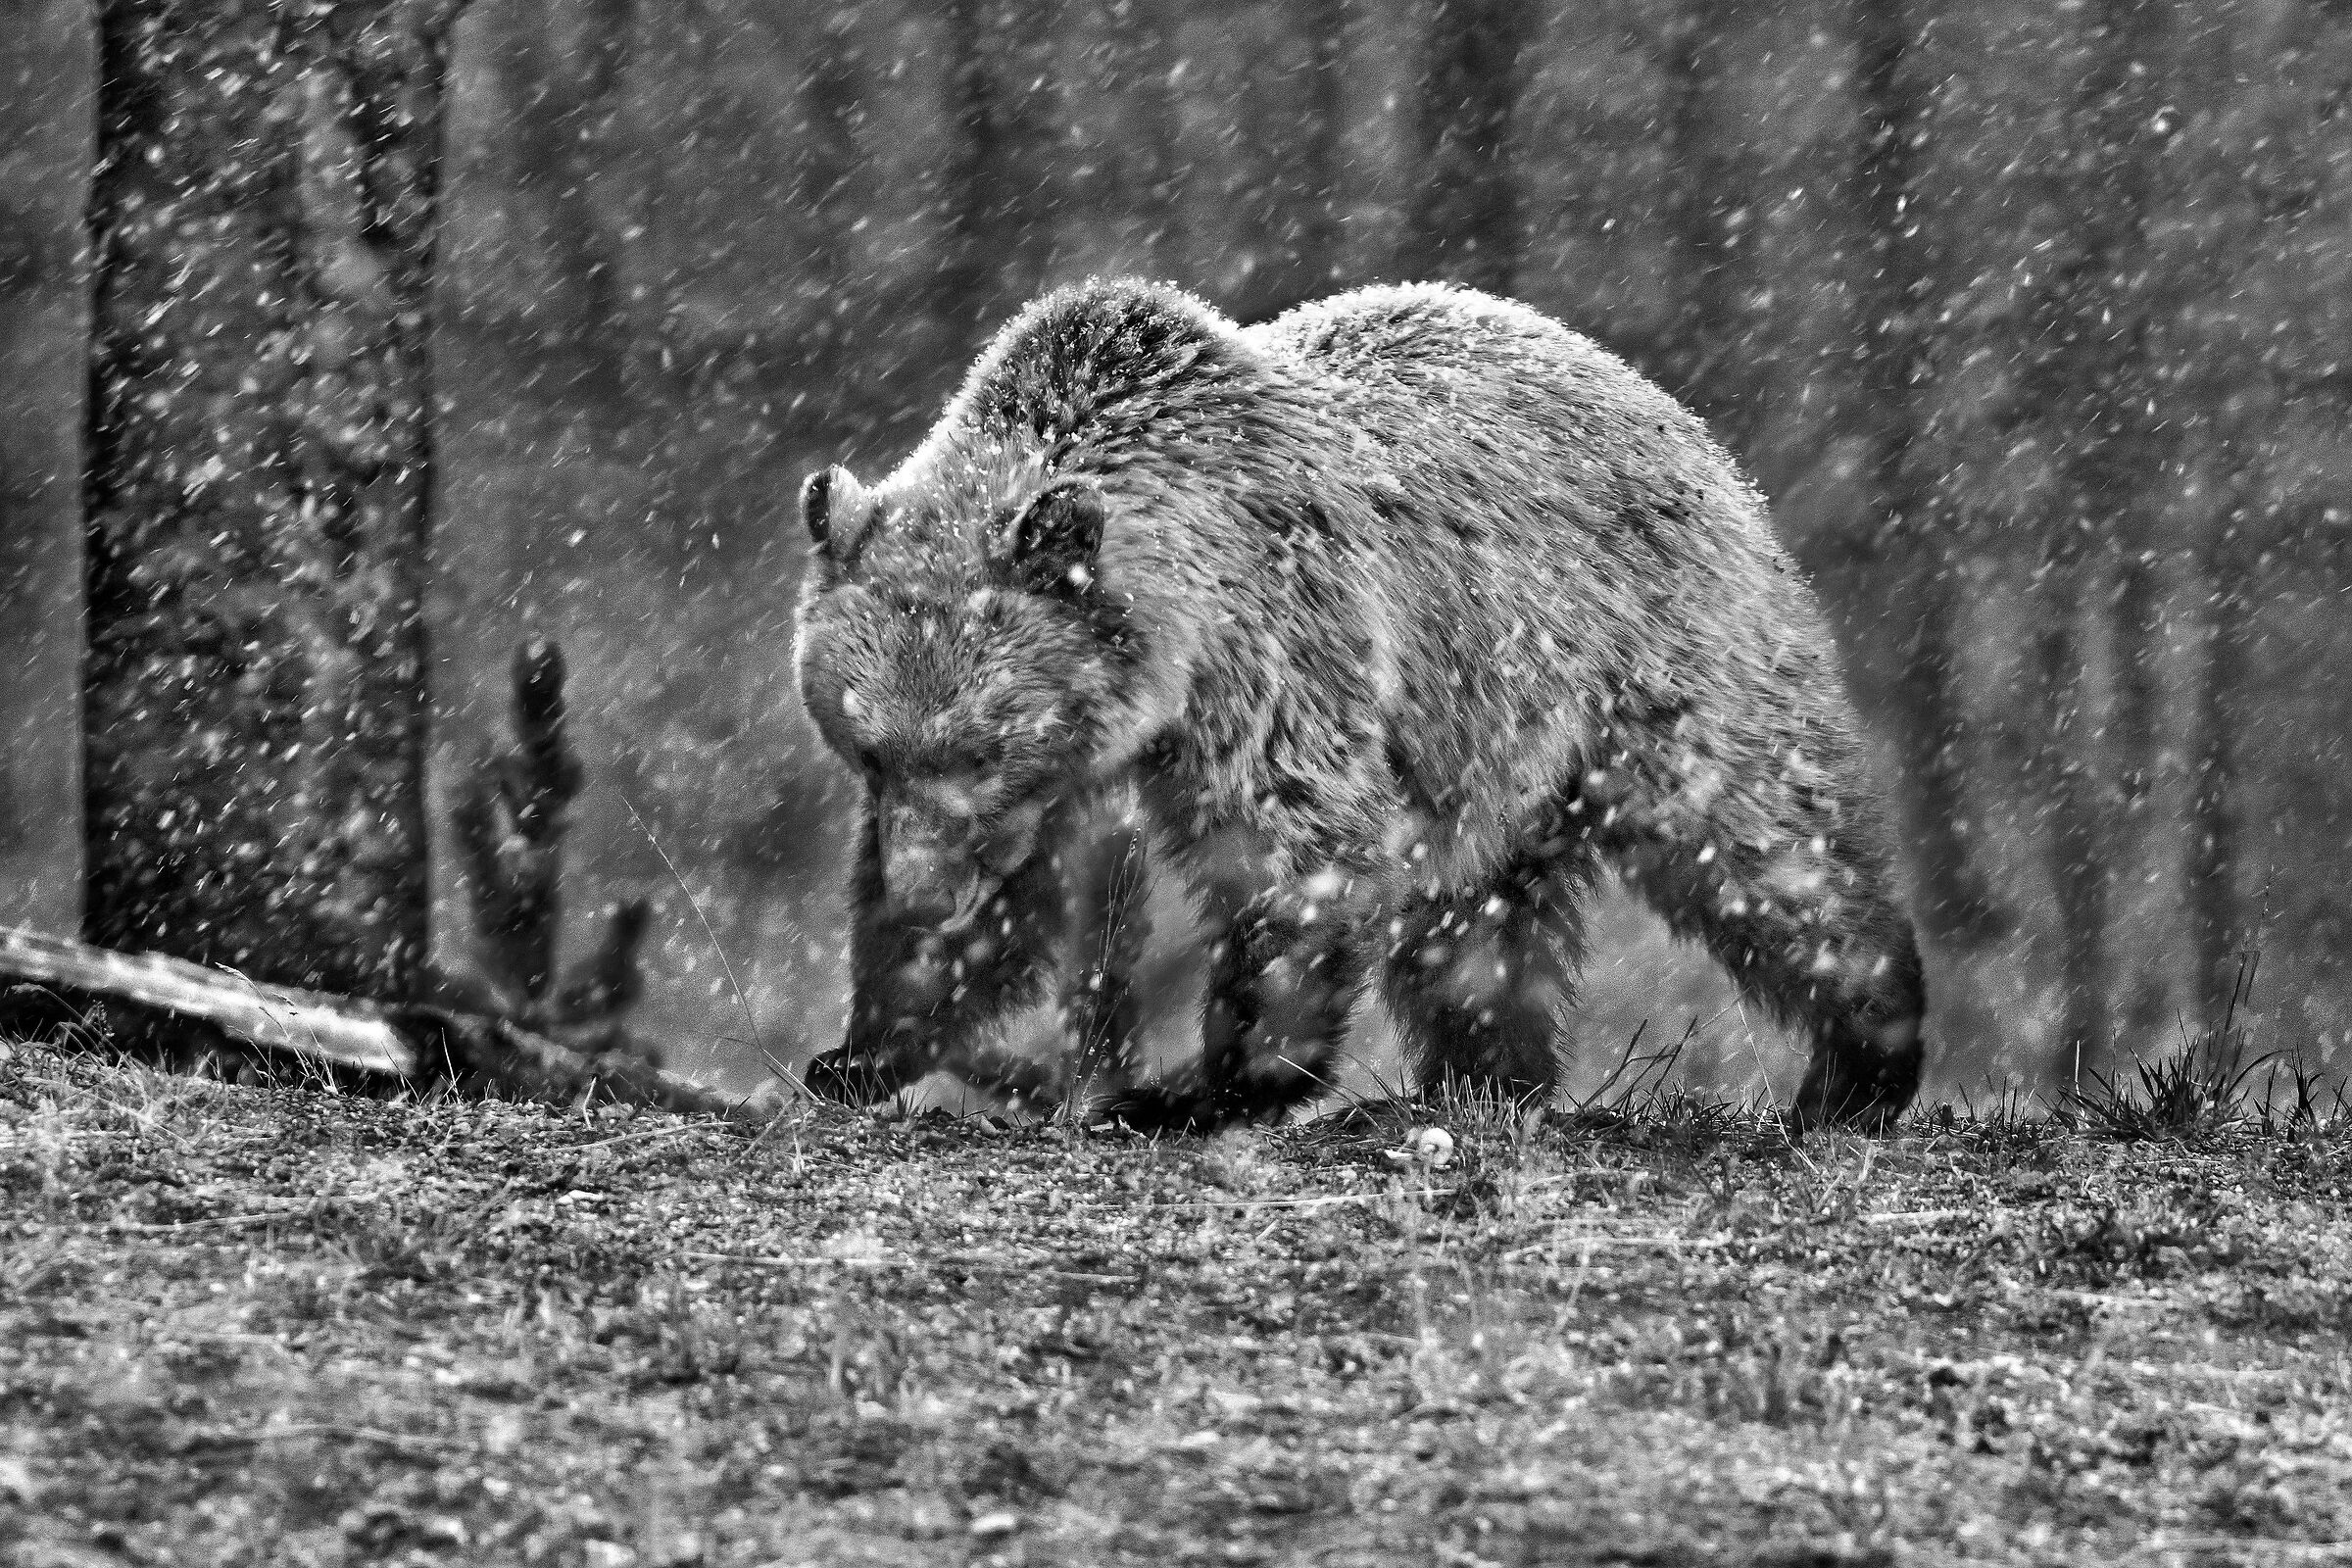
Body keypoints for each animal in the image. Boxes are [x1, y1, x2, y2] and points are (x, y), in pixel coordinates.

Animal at [791, 278, 1926, 1131]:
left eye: (977, 746)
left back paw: (1863, 1059)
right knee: (1478, 925)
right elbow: (1013, 902)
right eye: (869, 748)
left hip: (1646, 657)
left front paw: (1201, 1088)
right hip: (1484, 750)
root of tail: (1659, 400)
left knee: (1760, 838)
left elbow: (1292, 845)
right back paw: (1480, 1079)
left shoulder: (1280, 654)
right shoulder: (1064, 771)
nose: (924, 887)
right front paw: (863, 1048)